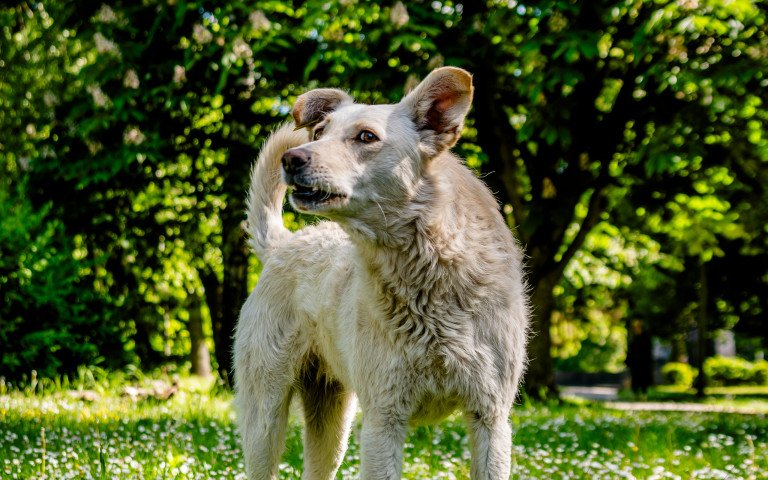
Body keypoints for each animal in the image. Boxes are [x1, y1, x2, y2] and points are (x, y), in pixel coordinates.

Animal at [236, 65, 528, 478]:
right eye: (319, 133)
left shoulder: (490, 418)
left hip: (331, 421)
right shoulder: (383, 419)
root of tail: (283, 245)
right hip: (266, 417)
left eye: (366, 137)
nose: (291, 159)